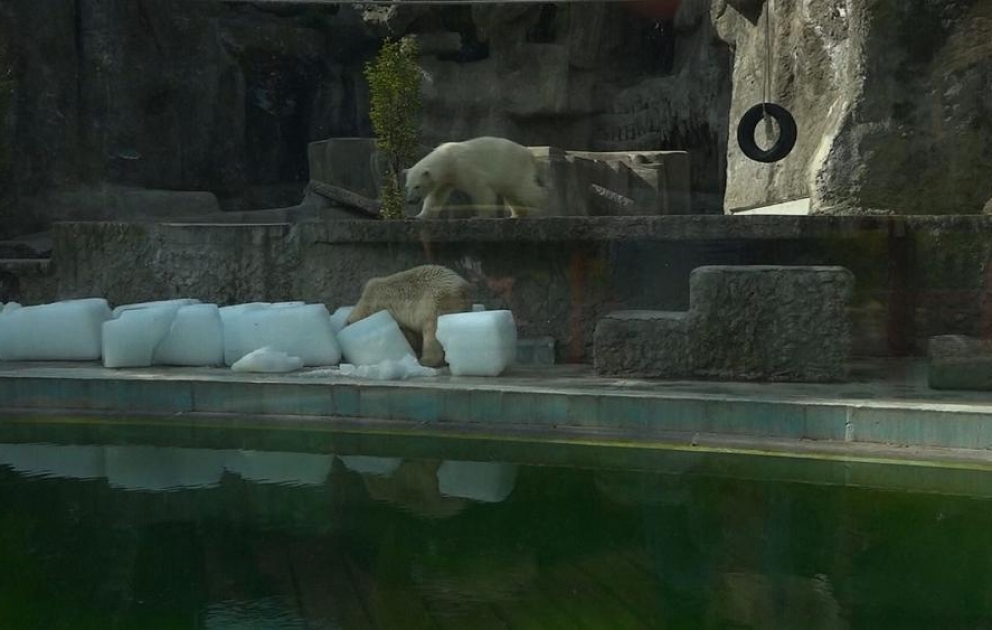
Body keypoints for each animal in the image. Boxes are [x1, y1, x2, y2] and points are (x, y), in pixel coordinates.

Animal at [404, 136, 547, 220]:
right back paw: (516, 215)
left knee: (524, 189)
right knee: (512, 194)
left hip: (513, 168)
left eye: (417, 186)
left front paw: (479, 217)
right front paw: (418, 216)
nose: (410, 200)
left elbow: (480, 188)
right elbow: (436, 197)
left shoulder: (463, 166)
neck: (447, 158)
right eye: (407, 187)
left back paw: (540, 209)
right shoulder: (446, 179)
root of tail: (528, 152)